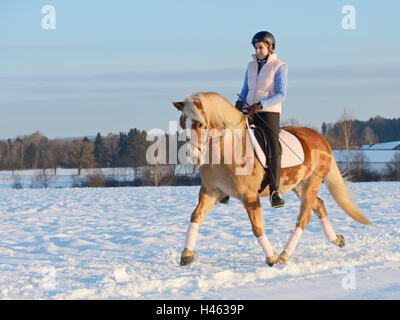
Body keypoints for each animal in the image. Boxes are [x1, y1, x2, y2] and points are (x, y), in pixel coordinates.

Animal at [170, 91, 370, 266]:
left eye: (200, 124)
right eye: (182, 124)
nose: (193, 158)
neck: (225, 150)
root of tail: (321, 139)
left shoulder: (249, 196)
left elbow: (257, 227)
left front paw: (271, 258)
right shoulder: (211, 191)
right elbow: (196, 216)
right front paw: (186, 255)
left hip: (310, 185)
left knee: (304, 218)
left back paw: (283, 255)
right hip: (298, 185)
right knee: (319, 207)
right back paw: (337, 240)